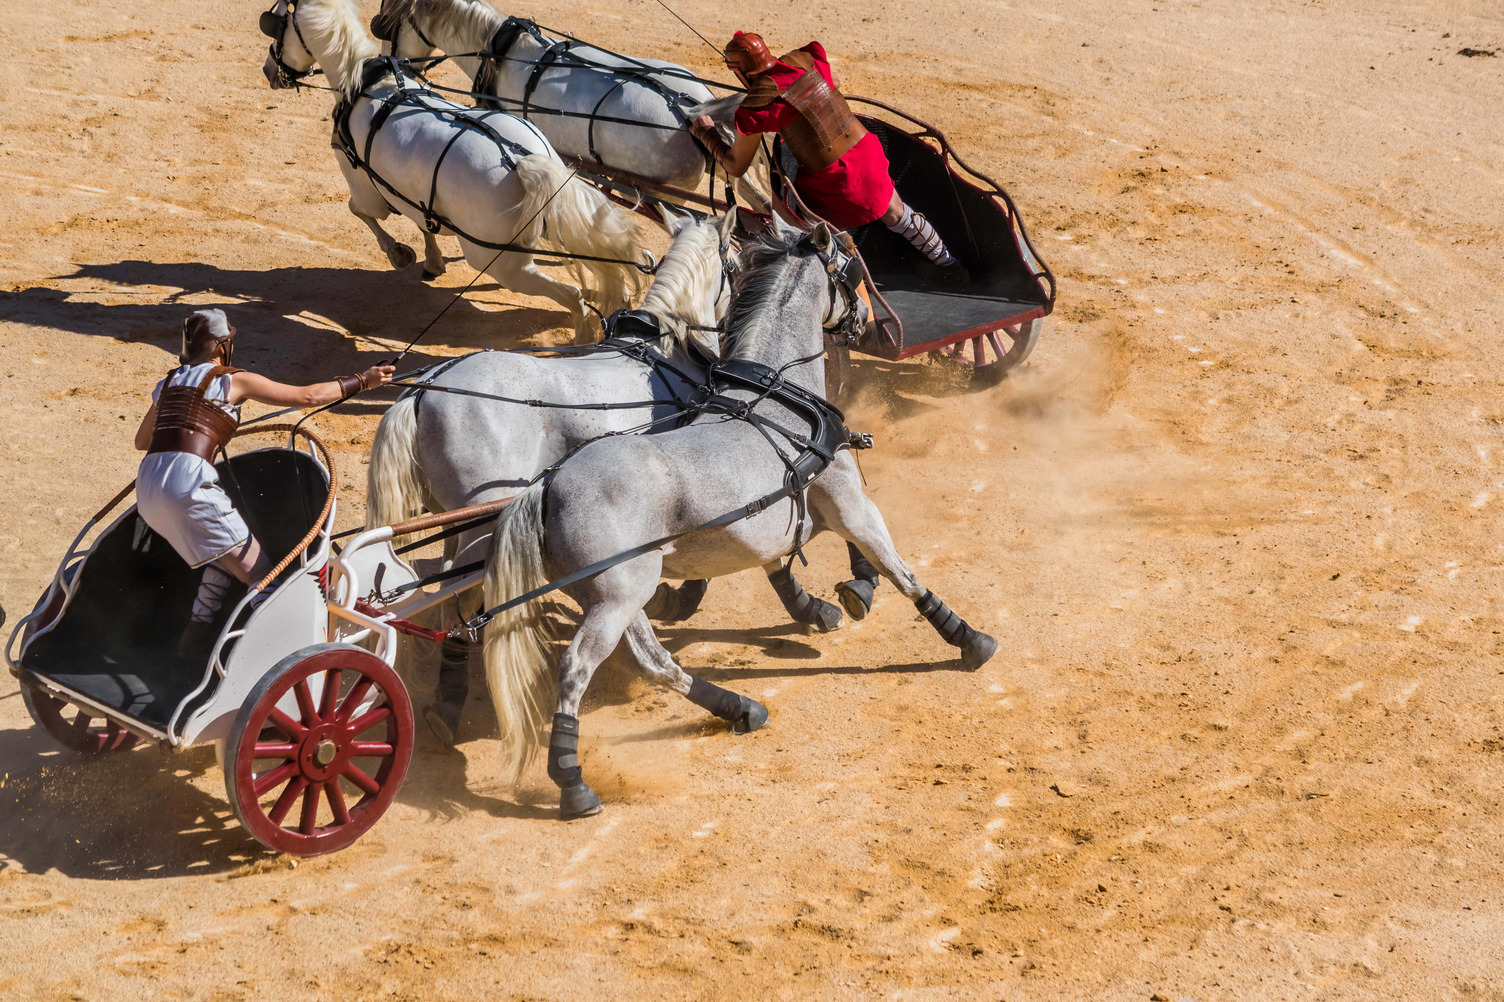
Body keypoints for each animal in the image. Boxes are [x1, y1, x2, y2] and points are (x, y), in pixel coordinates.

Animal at [260, 0, 646, 335]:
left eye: (277, 26)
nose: (268, 70)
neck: (367, 83)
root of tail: (521, 160)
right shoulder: (416, 197)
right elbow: (423, 224)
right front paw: (432, 261)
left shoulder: (364, 186)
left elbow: (360, 212)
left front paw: (400, 254)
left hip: (500, 263)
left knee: (573, 296)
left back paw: (583, 334)